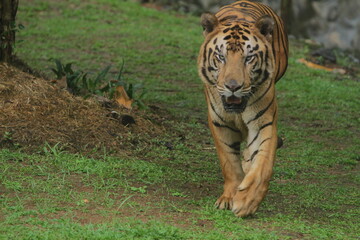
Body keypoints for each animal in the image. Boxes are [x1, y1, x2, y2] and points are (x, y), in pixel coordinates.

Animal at [198, 0, 288, 218]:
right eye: (221, 57)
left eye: (249, 58)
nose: (233, 86)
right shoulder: (219, 124)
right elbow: (229, 164)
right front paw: (228, 198)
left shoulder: (264, 123)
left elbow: (263, 165)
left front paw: (246, 202)